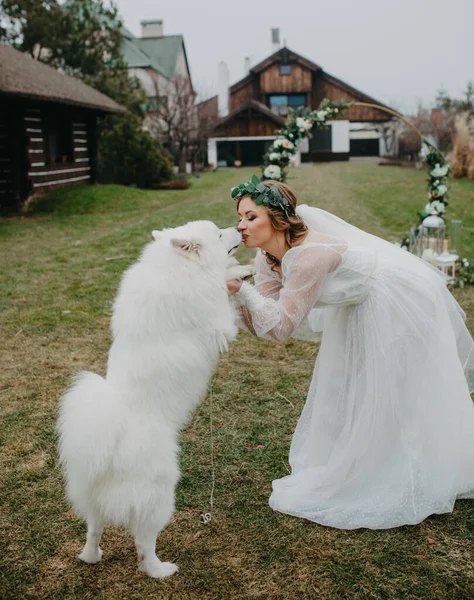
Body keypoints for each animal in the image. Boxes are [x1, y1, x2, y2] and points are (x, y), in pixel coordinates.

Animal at [56, 219, 252, 576]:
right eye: (220, 234)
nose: (240, 229)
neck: (177, 267)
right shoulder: (219, 324)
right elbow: (223, 288)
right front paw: (241, 272)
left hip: (95, 501)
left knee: (94, 528)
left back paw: (91, 556)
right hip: (159, 497)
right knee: (143, 543)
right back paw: (160, 570)